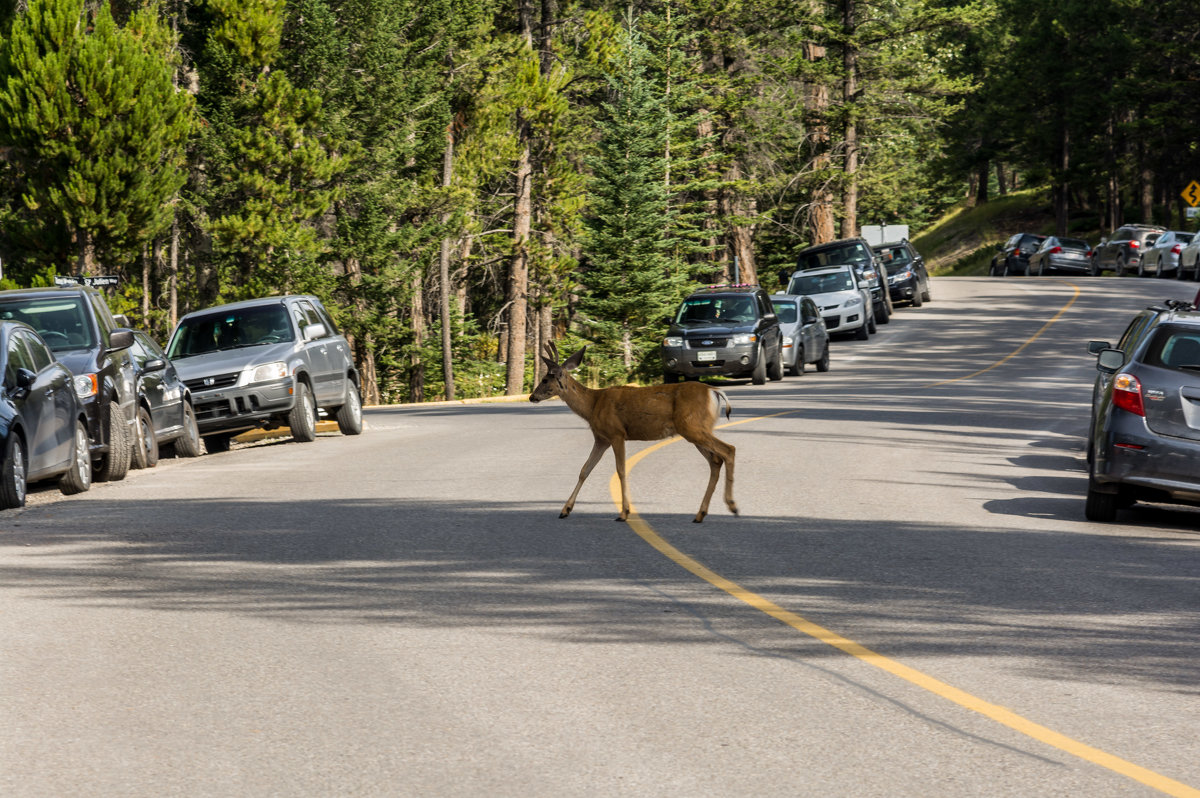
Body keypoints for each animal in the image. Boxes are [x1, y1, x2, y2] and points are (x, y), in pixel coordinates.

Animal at [530, 340, 734, 523]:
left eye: (545, 379)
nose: (532, 396)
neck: (592, 405)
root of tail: (714, 391)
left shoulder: (616, 433)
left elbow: (621, 470)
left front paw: (624, 513)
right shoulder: (601, 439)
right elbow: (584, 470)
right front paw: (565, 510)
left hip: (692, 426)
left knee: (728, 449)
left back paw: (731, 505)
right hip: (694, 430)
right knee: (715, 461)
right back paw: (700, 514)